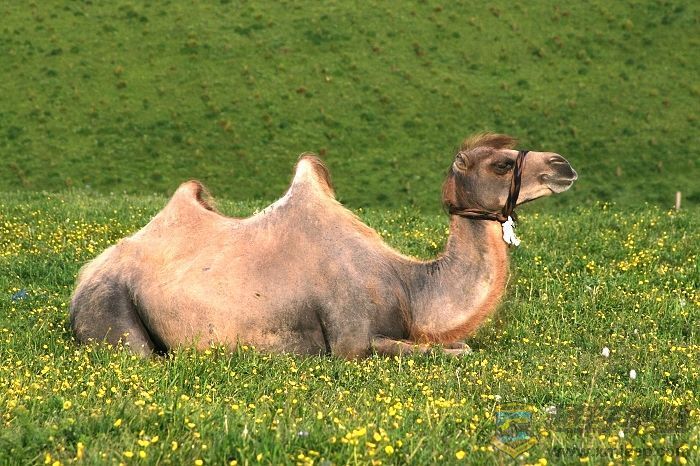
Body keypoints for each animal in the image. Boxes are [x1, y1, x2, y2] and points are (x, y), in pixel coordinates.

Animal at [70, 133, 577, 358]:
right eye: (501, 163)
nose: (563, 165)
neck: (408, 285)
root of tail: (85, 273)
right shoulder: (350, 337)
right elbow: (452, 351)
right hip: (108, 302)